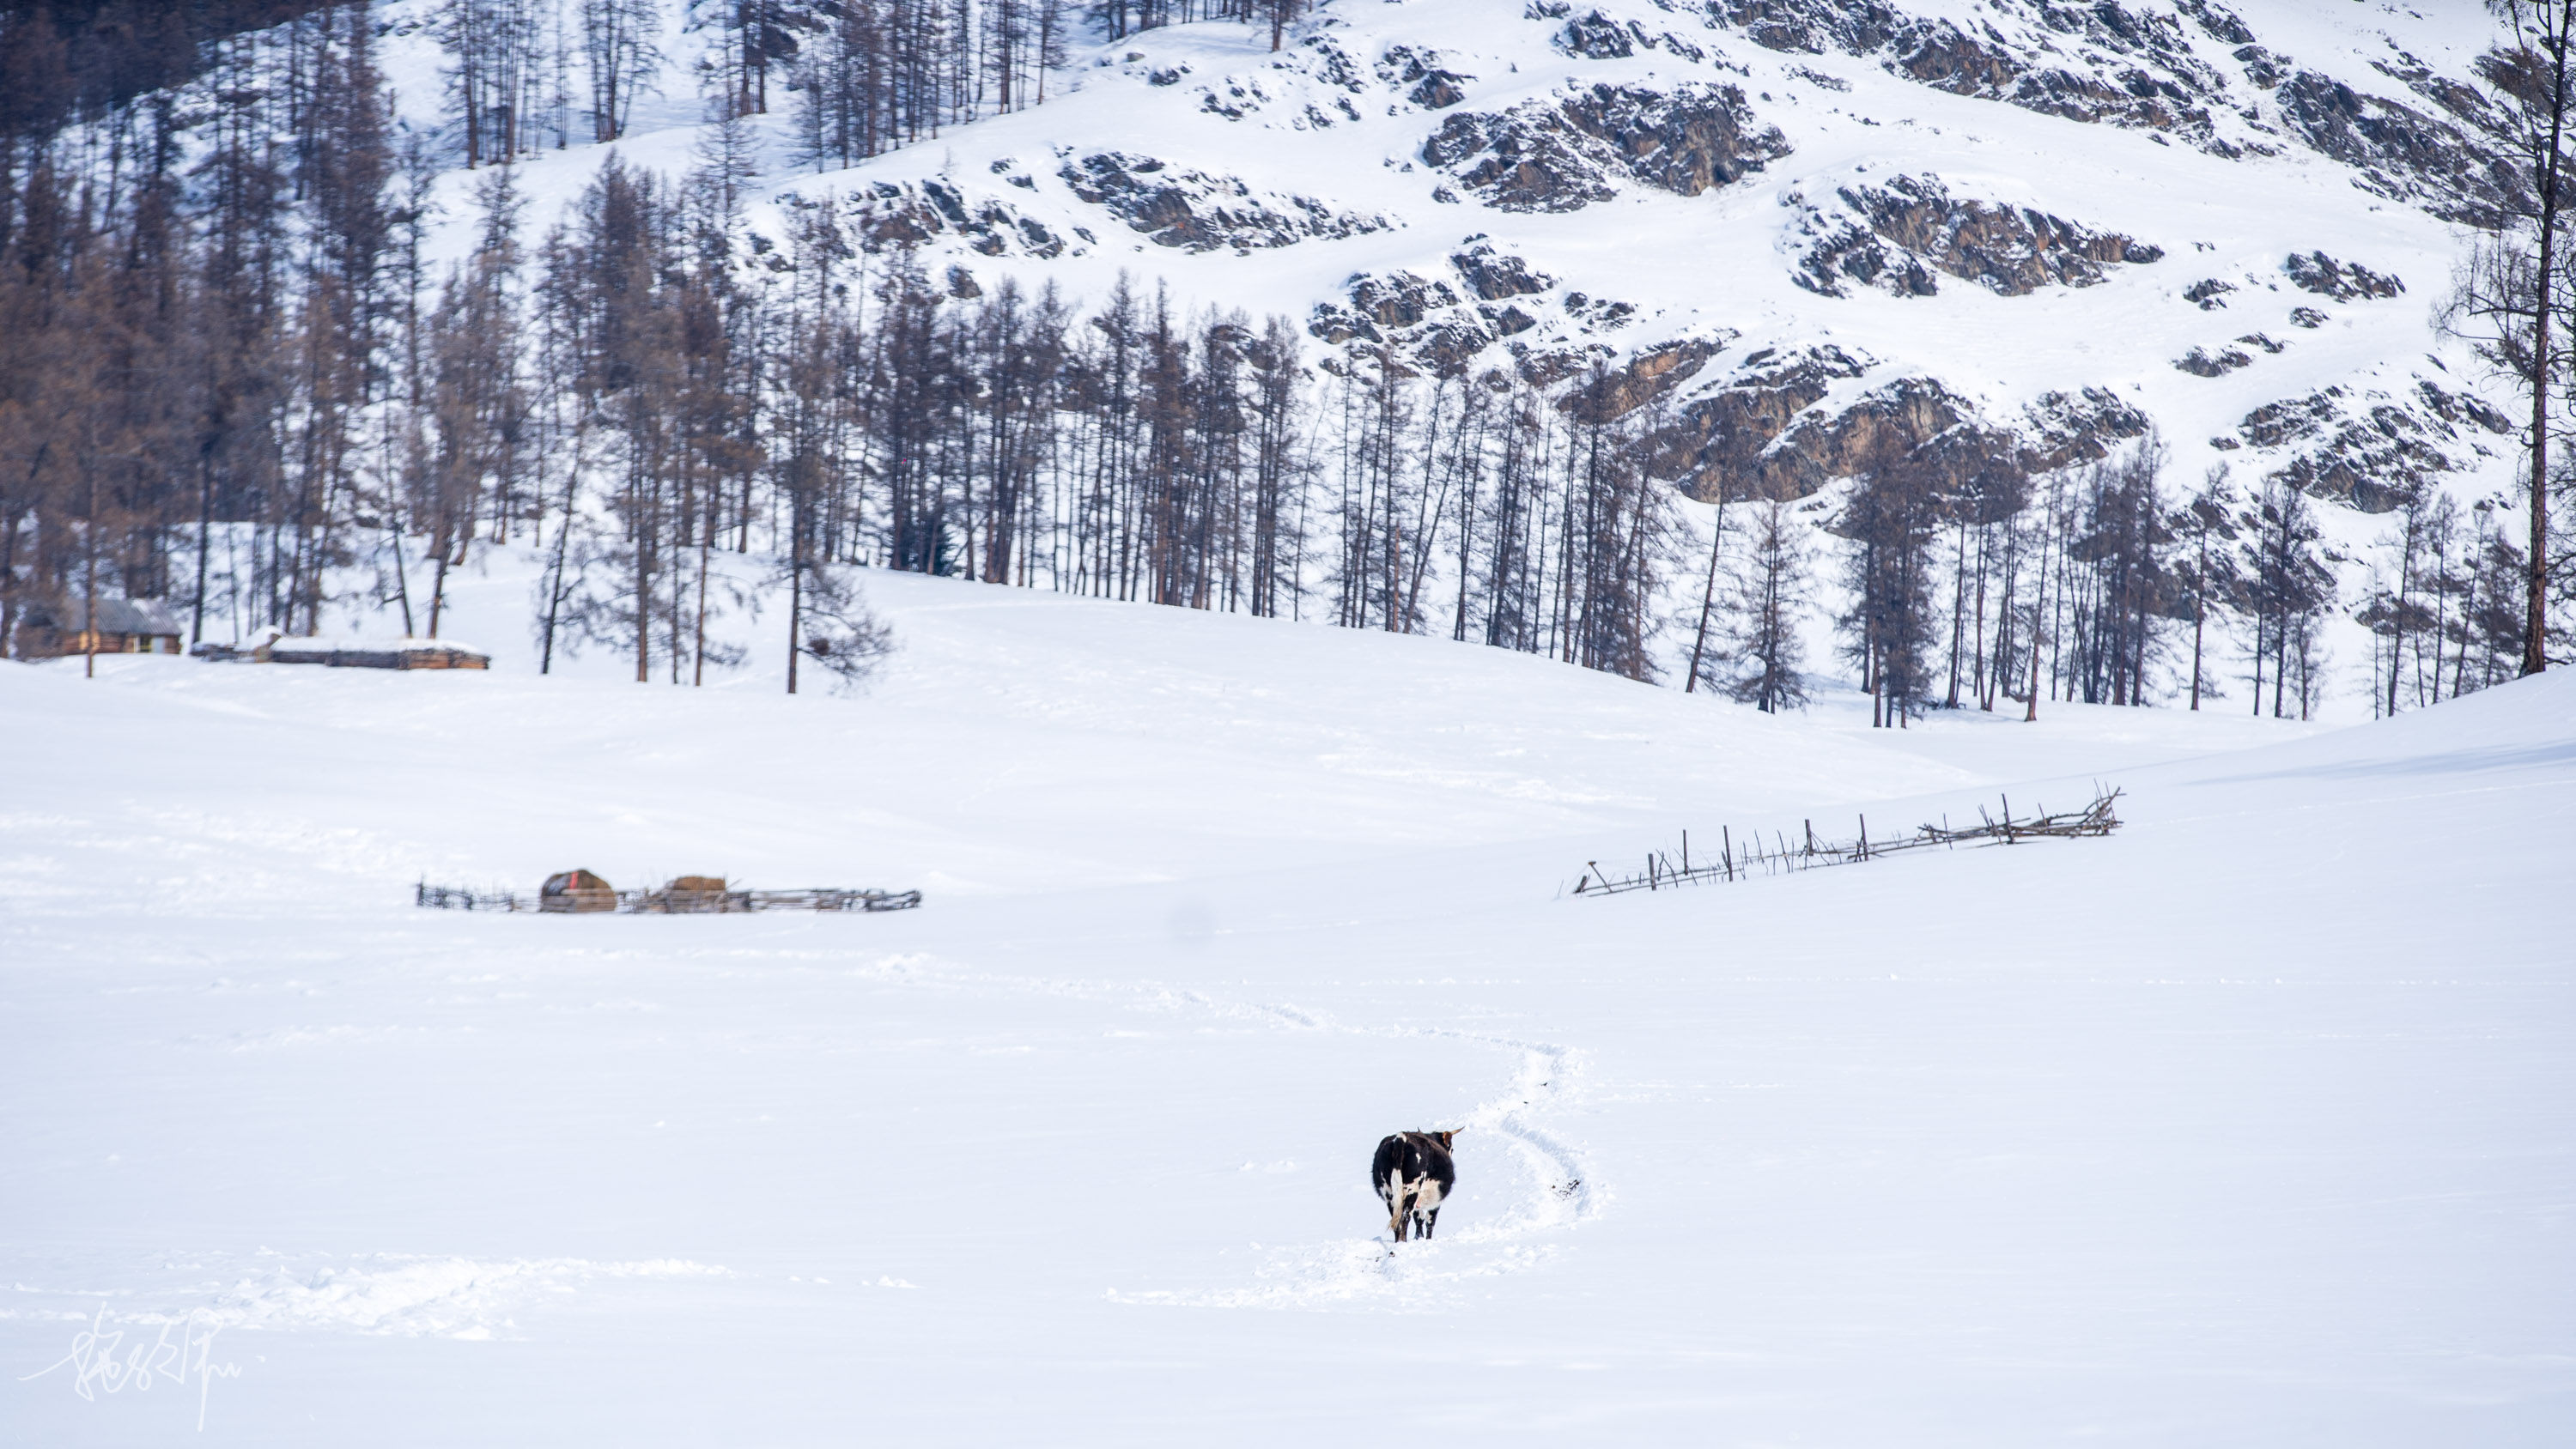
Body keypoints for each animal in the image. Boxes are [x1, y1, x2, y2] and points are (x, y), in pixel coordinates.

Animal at [1370, 1132, 1453, 1246]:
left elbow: (1419, 1219)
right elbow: (1429, 1221)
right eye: (1452, 1149)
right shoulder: (1436, 1201)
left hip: (1390, 1195)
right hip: (1412, 1190)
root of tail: (1400, 1138)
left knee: (1397, 1221)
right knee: (1405, 1218)